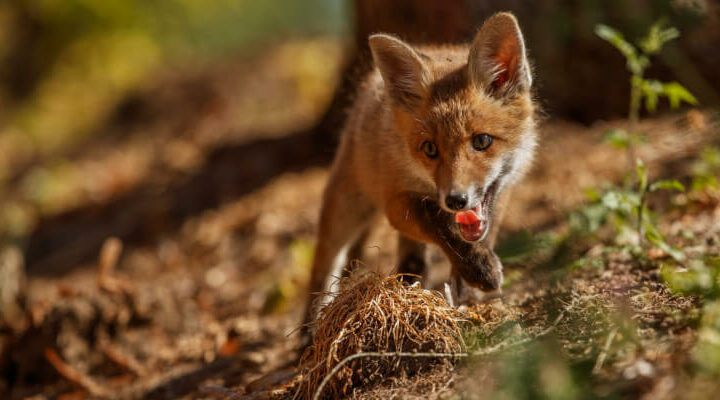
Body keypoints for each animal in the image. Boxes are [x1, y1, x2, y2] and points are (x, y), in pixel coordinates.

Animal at [304, 12, 536, 326]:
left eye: (482, 141)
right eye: (430, 149)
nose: (456, 200)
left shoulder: (502, 191)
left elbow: (480, 234)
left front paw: (468, 288)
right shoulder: (396, 201)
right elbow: (437, 222)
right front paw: (477, 269)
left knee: (410, 257)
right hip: (346, 207)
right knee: (324, 265)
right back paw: (310, 327)